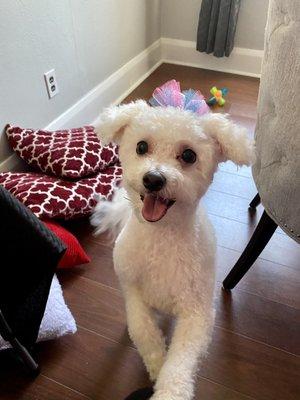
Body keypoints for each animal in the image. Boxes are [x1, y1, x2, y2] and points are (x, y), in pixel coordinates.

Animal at [91, 101, 253, 400]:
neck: (162, 237)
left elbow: (180, 363)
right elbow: (144, 332)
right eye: (142, 146)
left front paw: (168, 390)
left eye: (189, 155)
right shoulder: (135, 295)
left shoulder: (197, 313)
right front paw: (156, 367)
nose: (153, 179)